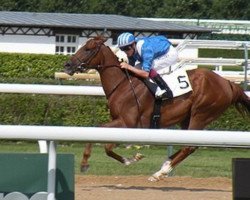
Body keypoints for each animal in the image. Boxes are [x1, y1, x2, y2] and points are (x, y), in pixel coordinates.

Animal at [64, 36, 250, 181]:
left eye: (88, 49)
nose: (67, 65)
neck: (123, 84)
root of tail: (227, 83)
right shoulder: (120, 122)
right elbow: (107, 146)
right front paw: (131, 158)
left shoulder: (127, 122)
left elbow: (104, 140)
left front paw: (86, 163)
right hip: (187, 118)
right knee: (189, 146)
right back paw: (165, 165)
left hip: (201, 114)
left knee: (189, 146)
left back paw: (162, 172)